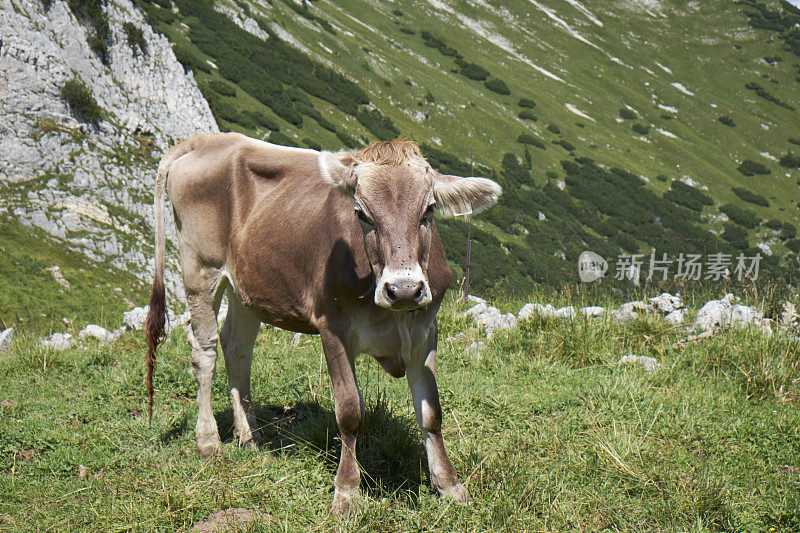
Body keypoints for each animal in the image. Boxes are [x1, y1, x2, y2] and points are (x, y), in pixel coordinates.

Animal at [144, 132, 500, 512]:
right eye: (361, 213)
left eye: (429, 210)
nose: (403, 289)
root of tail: (208, 139)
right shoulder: (334, 330)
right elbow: (350, 412)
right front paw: (346, 491)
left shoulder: (424, 333)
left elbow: (431, 414)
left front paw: (449, 485)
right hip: (200, 268)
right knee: (204, 351)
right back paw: (209, 441)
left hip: (247, 287)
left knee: (237, 349)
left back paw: (249, 436)